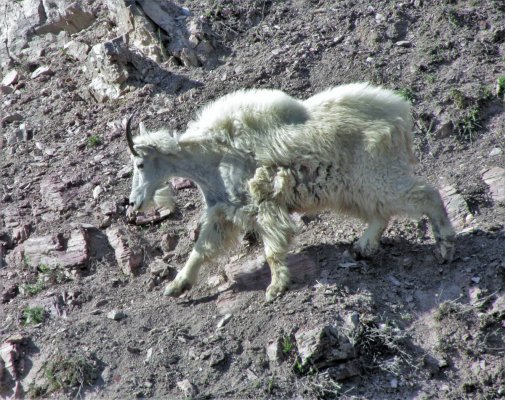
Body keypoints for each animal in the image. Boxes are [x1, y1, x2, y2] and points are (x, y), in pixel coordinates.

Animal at [127, 83, 456, 302]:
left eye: (140, 163)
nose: (133, 204)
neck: (214, 157)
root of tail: (400, 116)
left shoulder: (263, 205)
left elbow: (272, 249)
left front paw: (276, 287)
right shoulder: (223, 212)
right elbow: (201, 250)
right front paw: (176, 286)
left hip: (378, 175)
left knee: (425, 194)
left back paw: (445, 246)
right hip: (354, 189)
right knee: (381, 213)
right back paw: (361, 248)